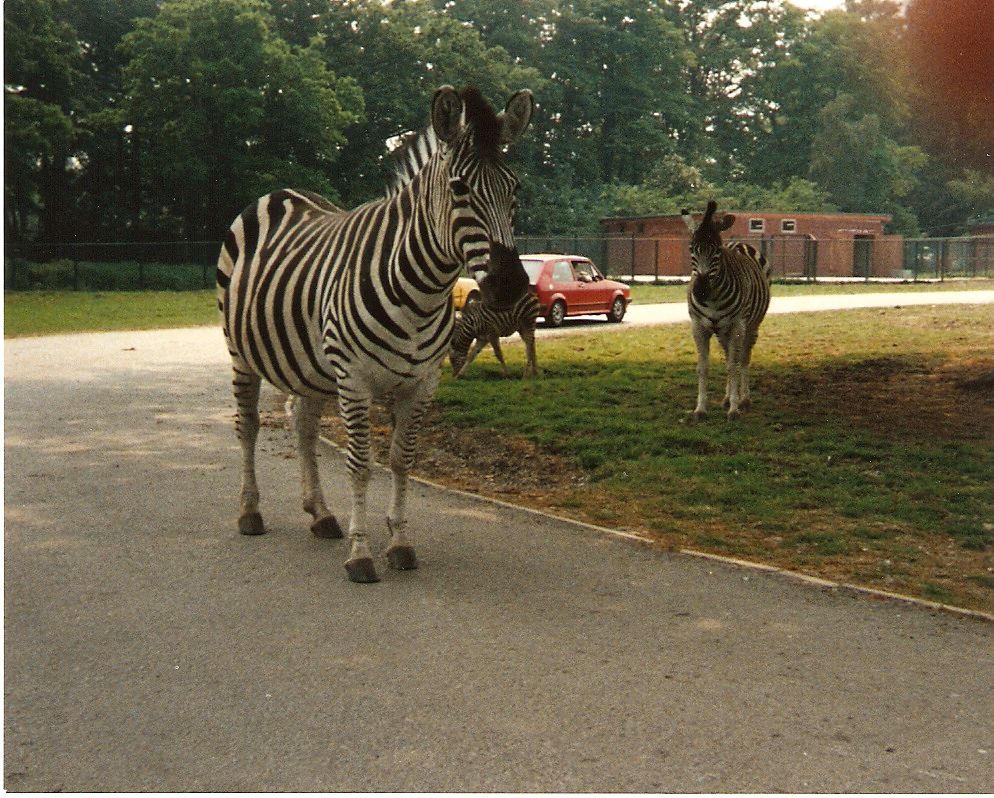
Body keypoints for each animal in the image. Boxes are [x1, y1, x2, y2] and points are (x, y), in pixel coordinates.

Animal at [217, 85, 534, 583]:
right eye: (459, 189)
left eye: (514, 188)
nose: (512, 286)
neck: (420, 293)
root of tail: (280, 192)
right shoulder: (355, 380)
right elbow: (361, 464)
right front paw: (361, 553)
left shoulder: (422, 383)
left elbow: (401, 460)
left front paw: (400, 543)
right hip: (240, 353)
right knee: (247, 425)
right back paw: (251, 512)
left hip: (309, 365)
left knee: (302, 425)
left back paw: (321, 514)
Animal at [681, 200, 771, 421]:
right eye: (691, 249)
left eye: (716, 251)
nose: (701, 290)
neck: (713, 297)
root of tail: (738, 243)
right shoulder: (698, 327)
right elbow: (703, 367)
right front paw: (700, 409)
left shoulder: (737, 326)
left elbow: (733, 366)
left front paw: (734, 409)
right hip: (722, 331)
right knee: (730, 355)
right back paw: (727, 397)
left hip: (751, 326)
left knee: (743, 358)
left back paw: (743, 400)